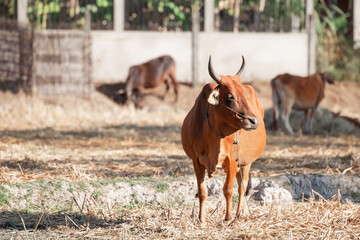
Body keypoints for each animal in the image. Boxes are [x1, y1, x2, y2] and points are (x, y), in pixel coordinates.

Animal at [181, 55, 266, 225]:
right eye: (230, 96)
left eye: (245, 94)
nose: (253, 121)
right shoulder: (196, 160)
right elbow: (202, 191)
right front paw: (201, 219)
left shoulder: (232, 159)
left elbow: (228, 190)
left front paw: (228, 217)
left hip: (246, 162)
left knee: (242, 186)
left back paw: (241, 213)